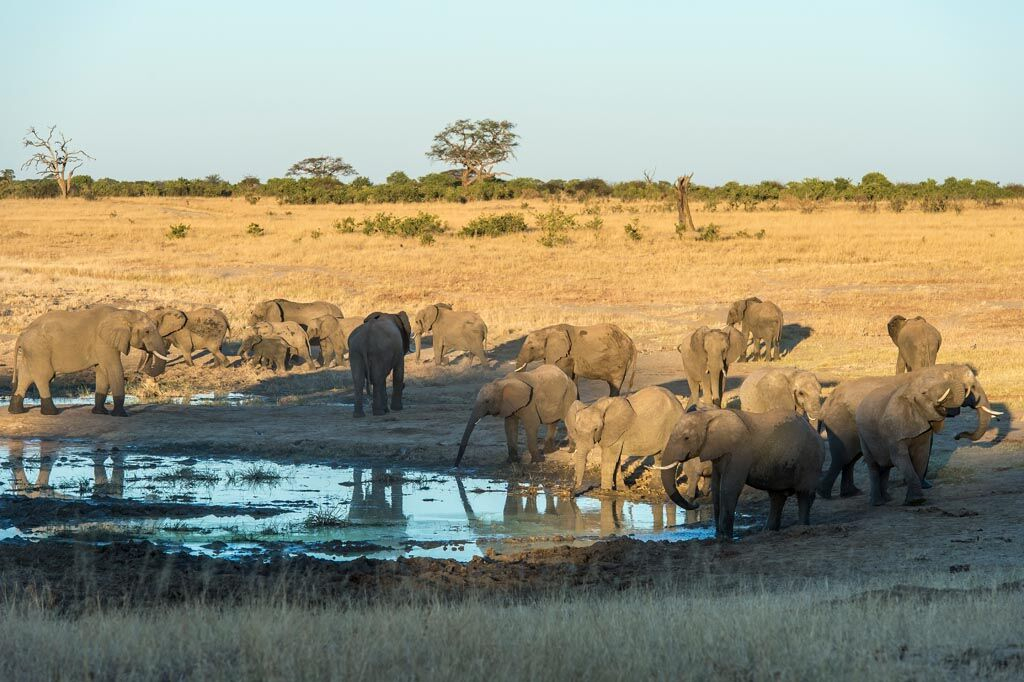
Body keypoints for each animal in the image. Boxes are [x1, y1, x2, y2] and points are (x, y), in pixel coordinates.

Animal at [8, 306, 172, 417]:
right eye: (147, 332)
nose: (147, 351)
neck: (123, 312)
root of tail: (22, 334)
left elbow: (102, 372)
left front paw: (100, 412)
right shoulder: (103, 342)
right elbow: (114, 369)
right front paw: (121, 415)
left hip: (32, 351)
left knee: (26, 376)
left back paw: (16, 411)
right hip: (39, 349)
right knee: (45, 376)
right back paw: (52, 413)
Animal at [654, 408, 824, 539]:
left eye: (686, 438)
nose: (696, 504)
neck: (709, 415)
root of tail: (815, 432)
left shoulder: (739, 453)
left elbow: (728, 488)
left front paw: (725, 537)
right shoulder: (718, 454)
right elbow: (717, 488)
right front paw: (718, 535)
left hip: (810, 461)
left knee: (803, 494)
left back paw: (801, 528)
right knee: (777, 497)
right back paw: (767, 531)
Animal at [817, 364, 997, 499]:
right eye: (971, 387)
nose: (957, 436)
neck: (943, 369)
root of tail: (826, 403)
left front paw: (924, 486)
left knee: (851, 458)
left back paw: (851, 493)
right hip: (840, 421)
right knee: (843, 457)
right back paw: (824, 494)